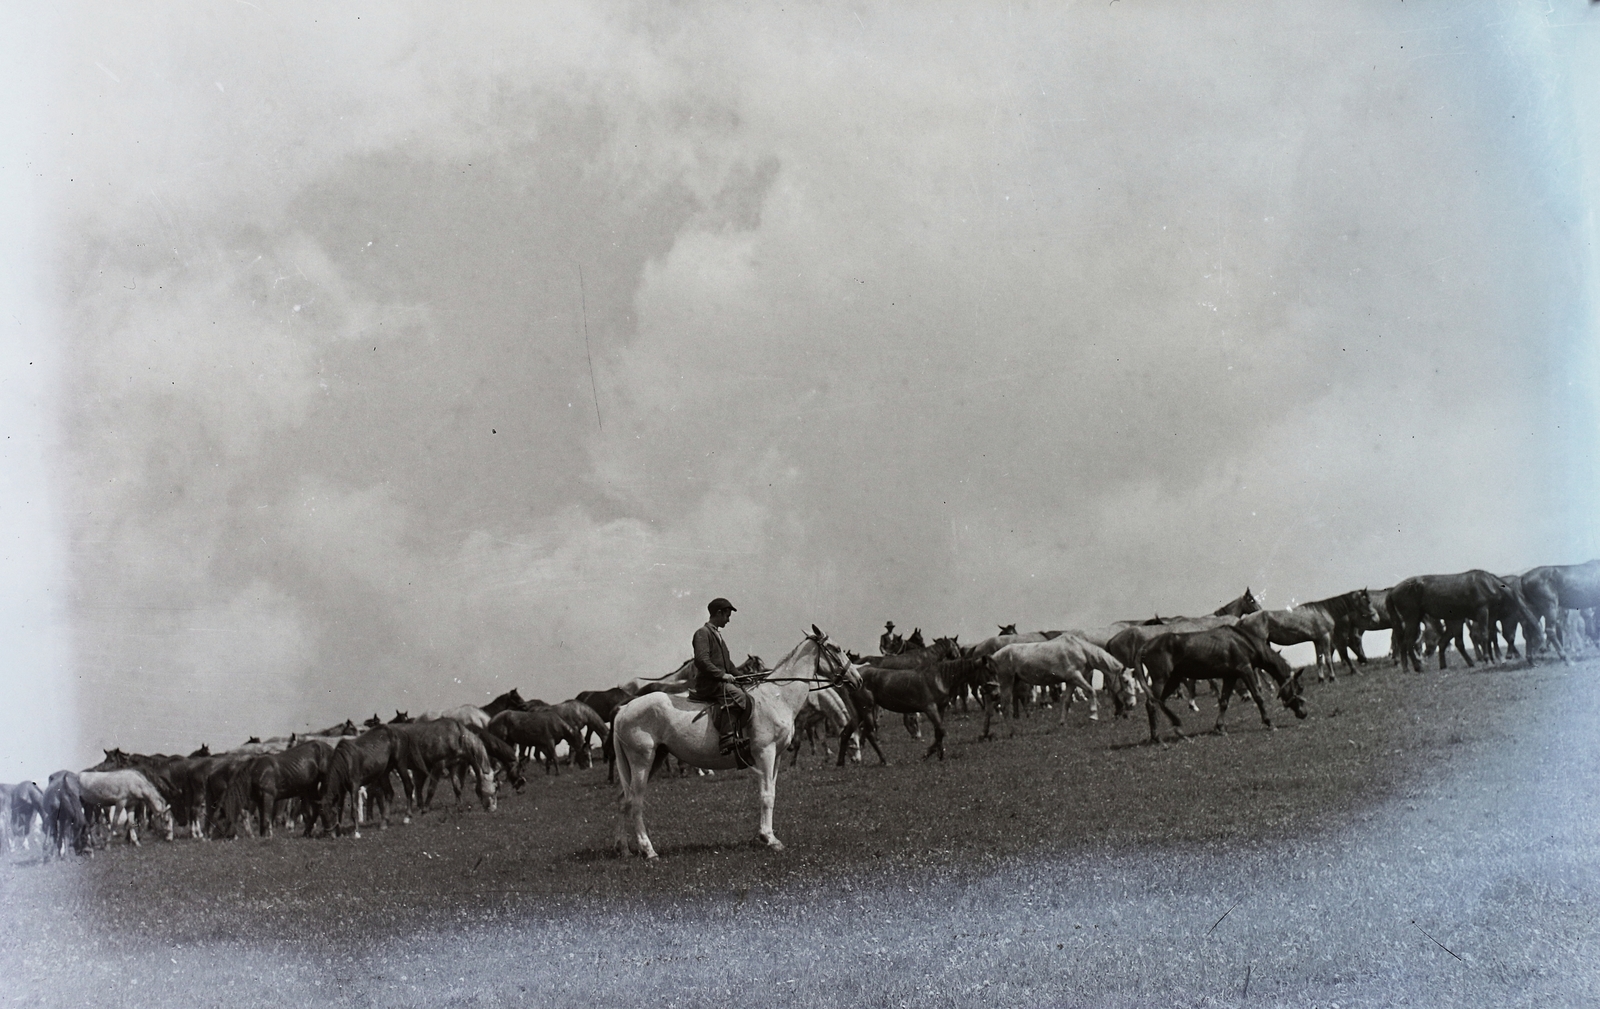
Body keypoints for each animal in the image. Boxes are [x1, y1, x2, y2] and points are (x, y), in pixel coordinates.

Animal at [614, 626, 864, 857]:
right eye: (836, 649)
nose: (858, 680)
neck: (777, 697)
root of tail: (624, 708)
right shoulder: (765, 753)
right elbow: (766, 796)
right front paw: (769, 839)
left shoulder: (776, 756)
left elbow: (771, 792)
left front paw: (767, 835)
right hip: (642, 762)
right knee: (635, 802)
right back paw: (648, 850)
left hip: (655, 759)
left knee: (624, 800)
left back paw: (624, 849)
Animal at [1132, 623, 1305, 741]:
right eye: (1299, 688)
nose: (1304, 713)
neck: (1243, 642)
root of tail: (1145, 646)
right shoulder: (1246, 670)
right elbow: (1258, 696)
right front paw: (1269, 723)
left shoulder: (1230, 676)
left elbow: (1224, 701)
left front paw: (1220, 728)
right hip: (1161, 679)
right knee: (1152, 703)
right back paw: (1157, 737)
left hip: (1173, 679)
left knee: (1160, 701)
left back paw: (1177, 729)